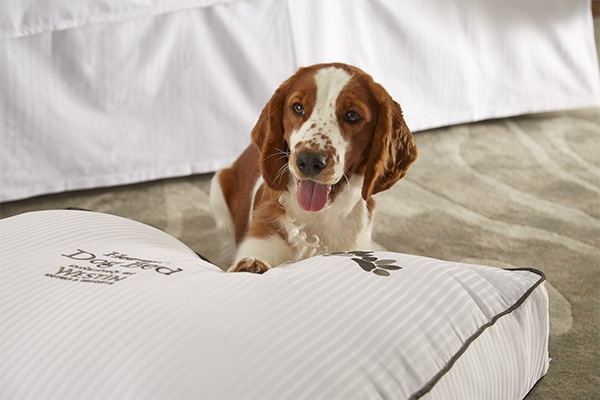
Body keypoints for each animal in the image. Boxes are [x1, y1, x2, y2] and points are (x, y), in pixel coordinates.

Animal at [211, 62, 418, 274]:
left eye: (352, 115)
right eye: (298, 108)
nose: (309, 161)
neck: (320, 218)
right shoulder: (261, 239)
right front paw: (251, 266)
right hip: (218, 187)